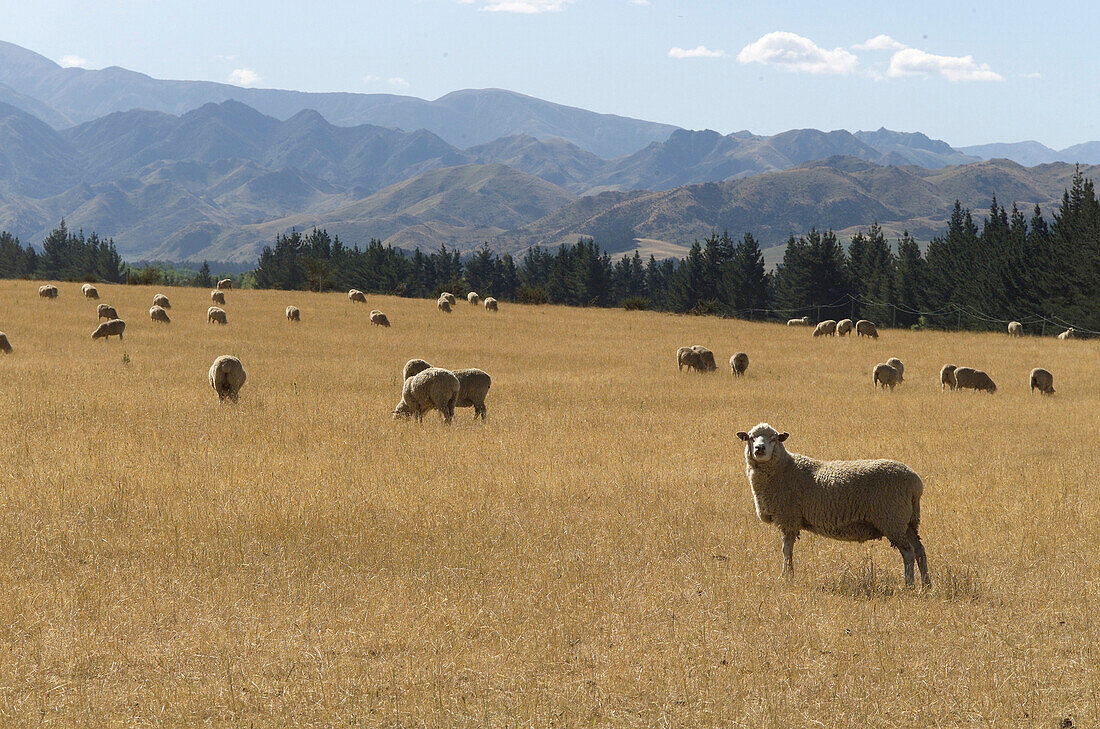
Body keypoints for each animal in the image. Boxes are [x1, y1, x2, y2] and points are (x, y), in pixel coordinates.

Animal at [739, 422, 928, 589]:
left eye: (773, 439)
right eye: (751, 438)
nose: (760, 449)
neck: (784, 468)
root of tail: (915, 483)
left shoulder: (788, 518)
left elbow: (786, 550)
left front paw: (786, 577)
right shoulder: (789, 519)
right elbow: (787, 549)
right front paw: (787, 575)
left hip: (892, 519)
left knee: (908, 552)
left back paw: (909, 585)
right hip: (908, 521)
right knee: (919, 549)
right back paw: (926, 585)